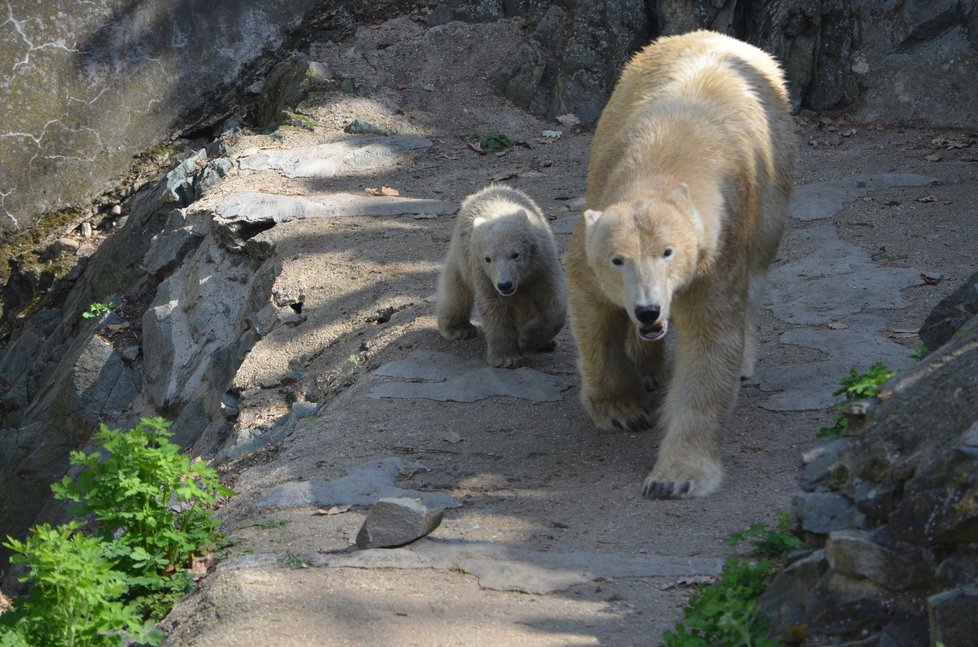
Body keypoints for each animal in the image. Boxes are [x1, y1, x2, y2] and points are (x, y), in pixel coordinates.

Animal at [568, 30, 796, 498]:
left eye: (668, 252)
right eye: (618, 260)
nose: (648, 310)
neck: (666, 161)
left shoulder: (719, 248)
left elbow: (710, 342)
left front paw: (676, 477)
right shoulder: (596, 214)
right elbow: (592, 307)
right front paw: (623, 409)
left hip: (773, 187)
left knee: (757, 277)